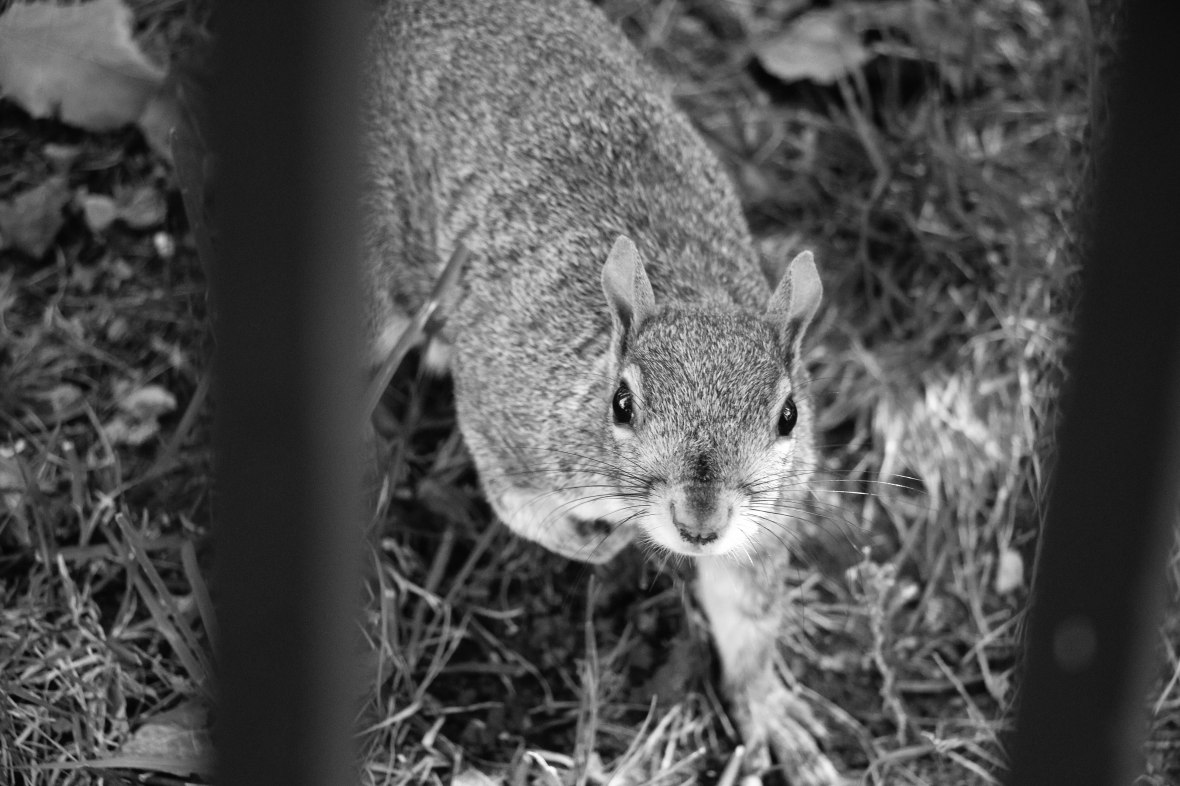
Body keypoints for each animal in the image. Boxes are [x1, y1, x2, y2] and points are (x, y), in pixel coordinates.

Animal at [364, 1, 841, 783]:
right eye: (621, 404)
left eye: (788, 415)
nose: (699, 523)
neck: (690, 289)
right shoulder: (504, 416)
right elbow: (526, 513)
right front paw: (599, 548)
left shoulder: (765, 515)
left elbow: (747, 604)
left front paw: (768, 705)